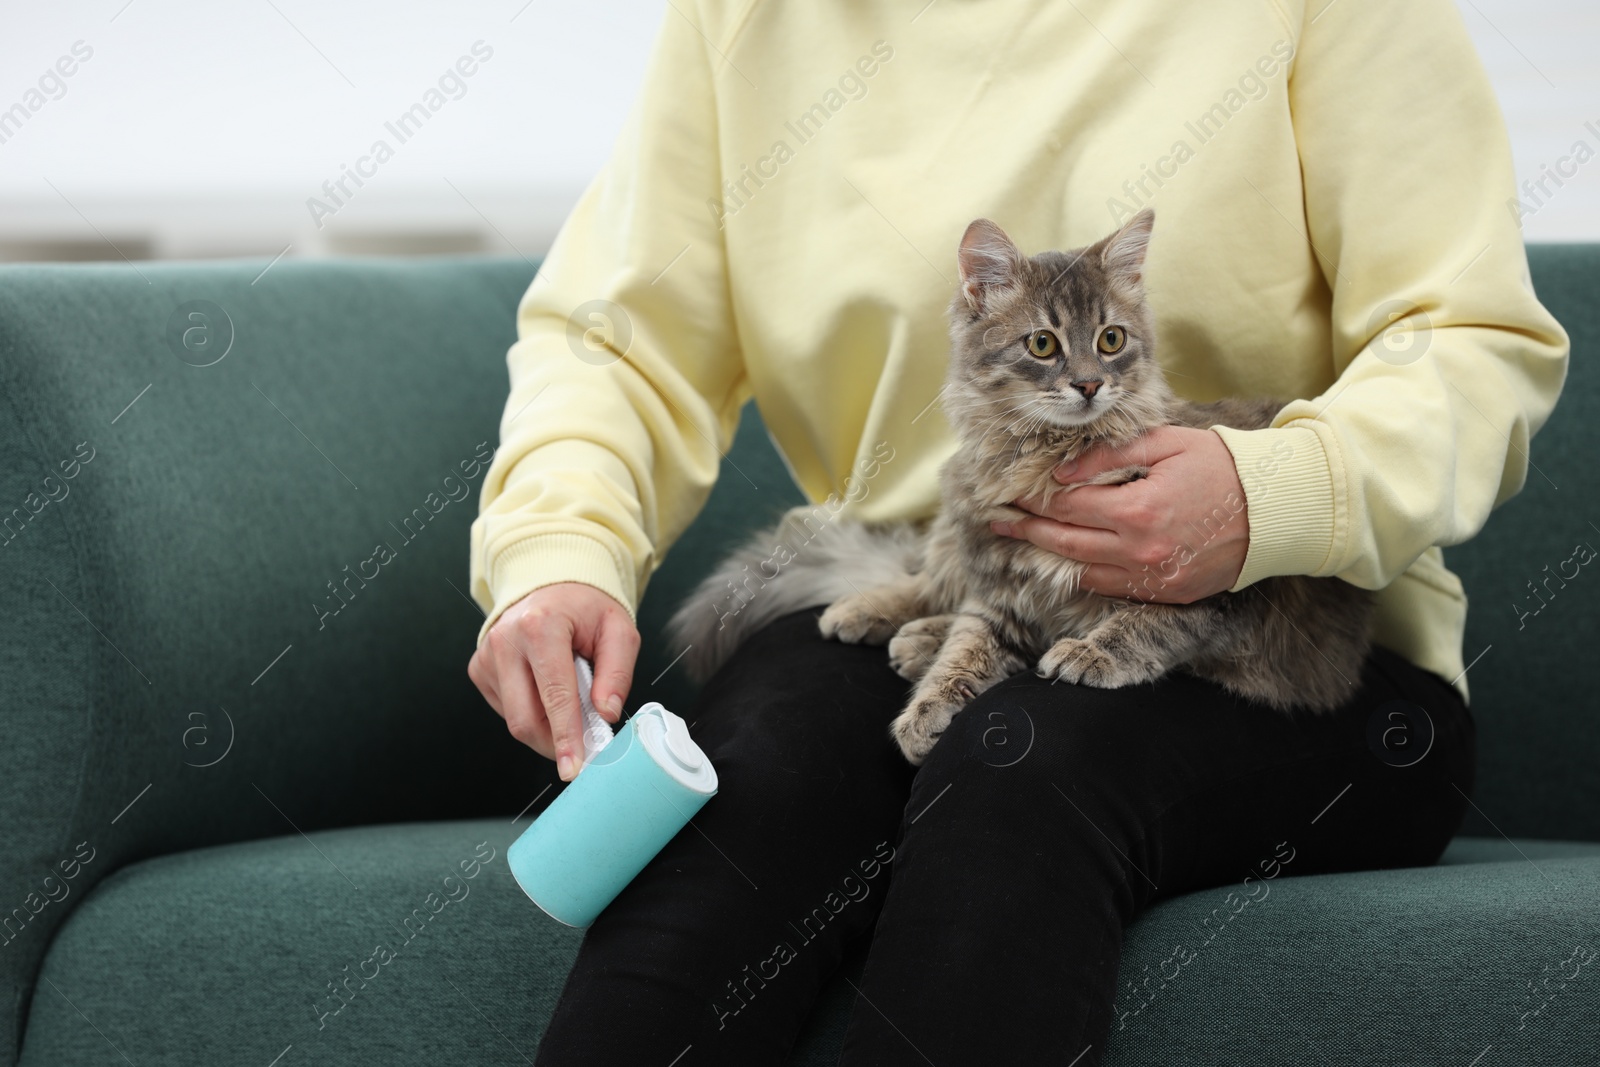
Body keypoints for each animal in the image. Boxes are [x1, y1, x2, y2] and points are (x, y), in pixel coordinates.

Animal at [668, 207, 1369, 764]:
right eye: (1042, 345)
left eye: (1110, 339)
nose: (1089, 384)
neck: (1047, 456)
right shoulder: (998, 577)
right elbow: (967, 646)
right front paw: (927, 710)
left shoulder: (1209, 580)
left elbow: (1145, 622)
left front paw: (1090, 653)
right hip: (957, 516)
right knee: (931, 583)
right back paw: (877, 616)